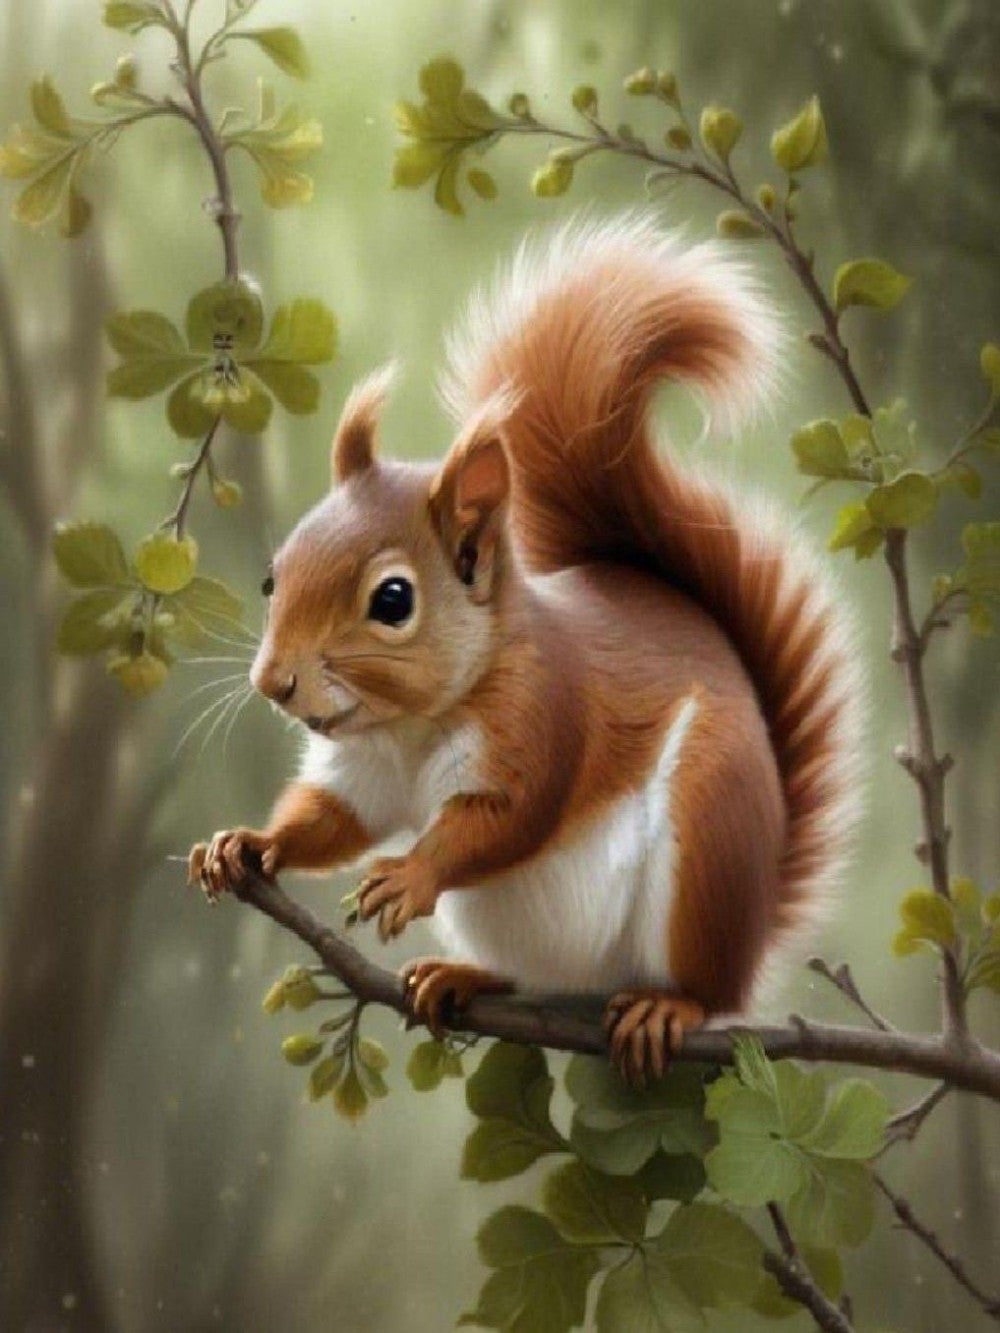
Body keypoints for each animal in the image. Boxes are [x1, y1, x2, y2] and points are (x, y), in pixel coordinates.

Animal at [189, 215, 863, 1083]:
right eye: (274, 577)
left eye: (393, 600)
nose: (273, 682)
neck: (412, 722)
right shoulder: (364, 770)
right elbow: (335, 818)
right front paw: (246, 843)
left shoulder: (543, 714)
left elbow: (504, 821)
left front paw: (410, 872)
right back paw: (461, 976)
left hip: (707, 844)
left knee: (704, 984)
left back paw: (668, 1006)